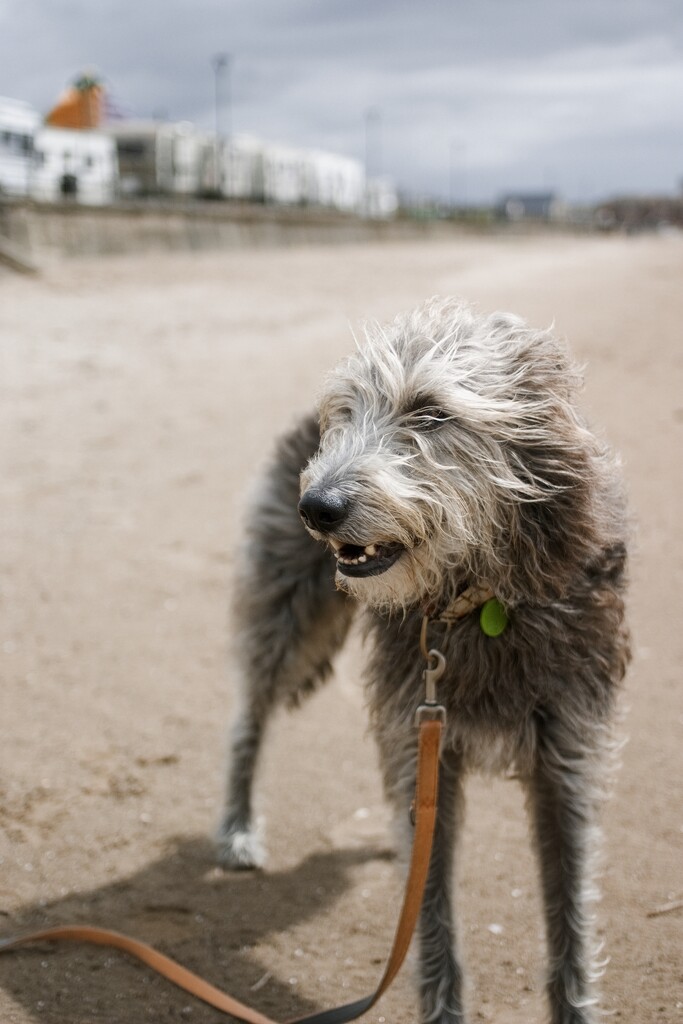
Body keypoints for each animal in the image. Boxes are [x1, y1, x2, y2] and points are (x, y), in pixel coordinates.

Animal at [218, 299, 630, 1024]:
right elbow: (433, 914)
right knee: (251, 714)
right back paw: (239, 825)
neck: (485, 601)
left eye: (432, 413)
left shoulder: (568, 755)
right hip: (286, 606)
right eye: (346, 411)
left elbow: (570, 916)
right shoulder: (423, 728)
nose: (317, 508)